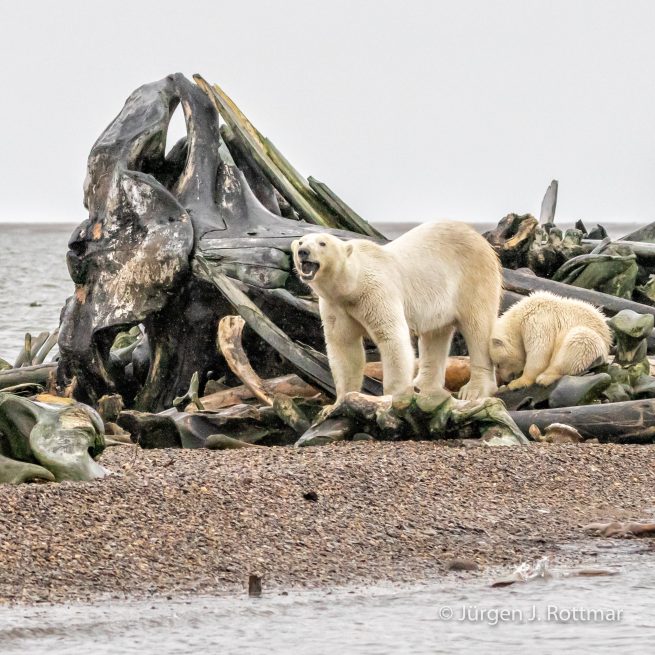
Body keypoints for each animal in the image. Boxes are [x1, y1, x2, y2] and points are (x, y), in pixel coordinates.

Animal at [291, 222, 502, 402]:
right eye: (301, 241)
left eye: (322, 243)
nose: (303, 252)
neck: (352, 286)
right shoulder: (336, 305)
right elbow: (343, 345)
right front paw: (340, 401)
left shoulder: (376, 292)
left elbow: (392, 337)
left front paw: (393, 396)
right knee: (435, 335)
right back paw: (424, 385)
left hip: (473, 277)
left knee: (478, 327)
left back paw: (474, 390)